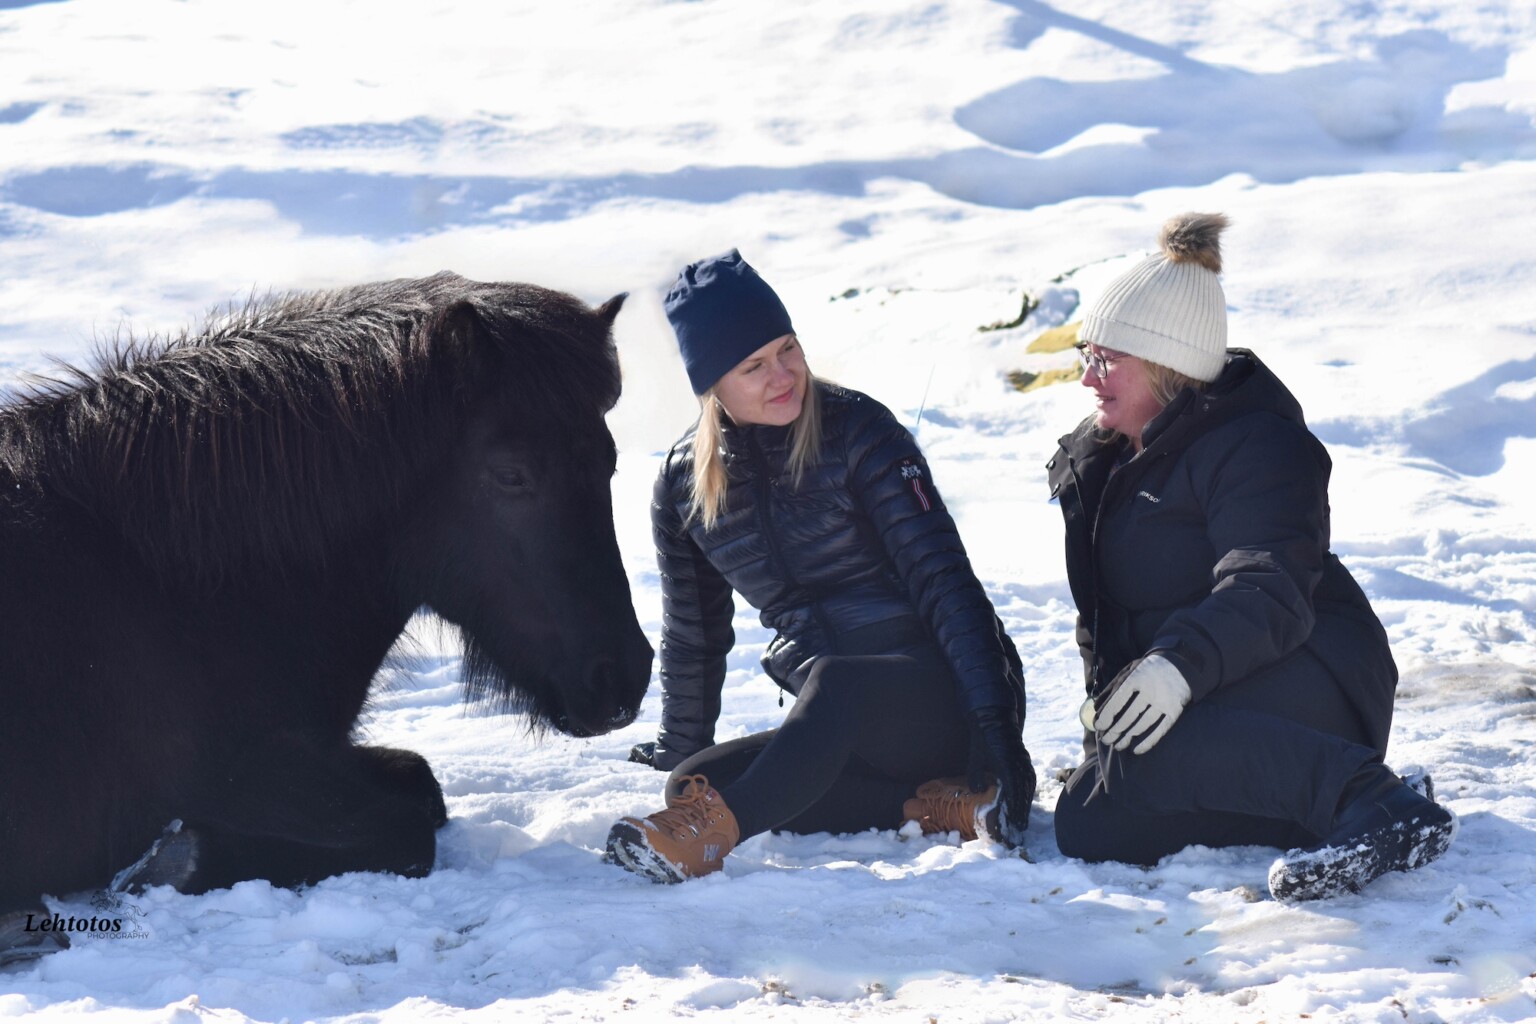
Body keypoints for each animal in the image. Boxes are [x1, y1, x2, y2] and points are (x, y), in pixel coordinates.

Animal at [0, 270, 654, 945]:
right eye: (511, 475)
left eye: (608, 462)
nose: (621, 675)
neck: (169, 591)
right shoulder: (249, 777)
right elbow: (407, 829)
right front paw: (172, 861)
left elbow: (421, 785)